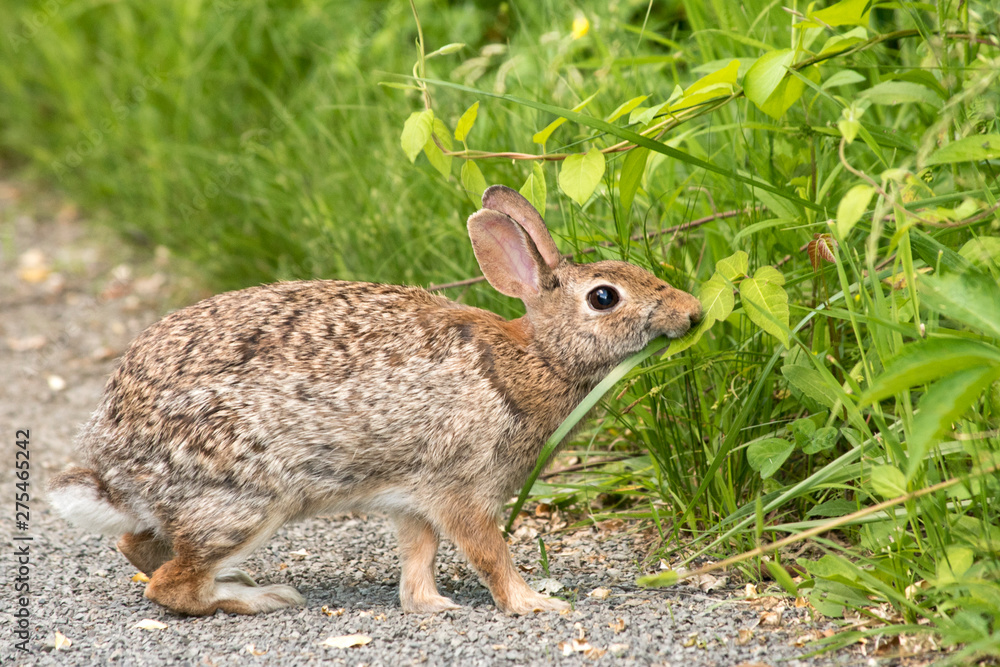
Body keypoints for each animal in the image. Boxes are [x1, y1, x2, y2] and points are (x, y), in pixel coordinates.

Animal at [48, 185, 702, 617]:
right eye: (604, 297)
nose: (693, 313)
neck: (535, 356)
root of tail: (111, 456)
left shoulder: (414, 498)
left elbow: (419, 556)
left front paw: (431, 606)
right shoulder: (463, 489)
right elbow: (489, 552)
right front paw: (534, 605)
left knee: (138, 545)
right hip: (247, 500)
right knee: (172, 586)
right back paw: (261, 597)